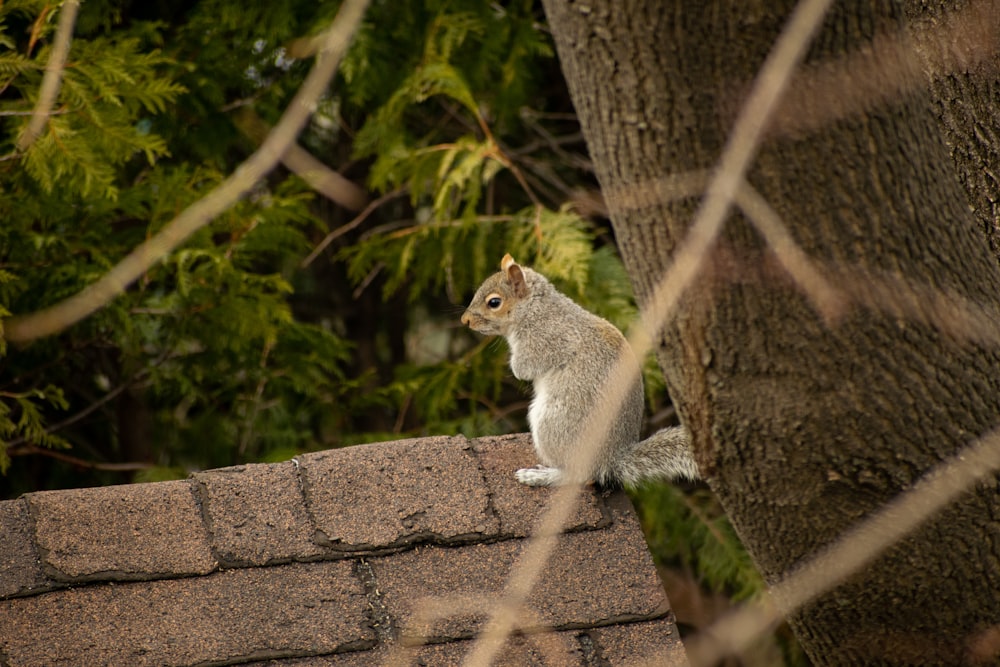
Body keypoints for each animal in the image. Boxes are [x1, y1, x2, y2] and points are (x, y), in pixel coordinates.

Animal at [458, 253, 700, 488]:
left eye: (494, 302)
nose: (465, 320)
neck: (535, 310)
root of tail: (609, 460)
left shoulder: (545, 341)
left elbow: (523, 369)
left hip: (553, 423)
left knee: (579, 476)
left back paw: (541, 476)